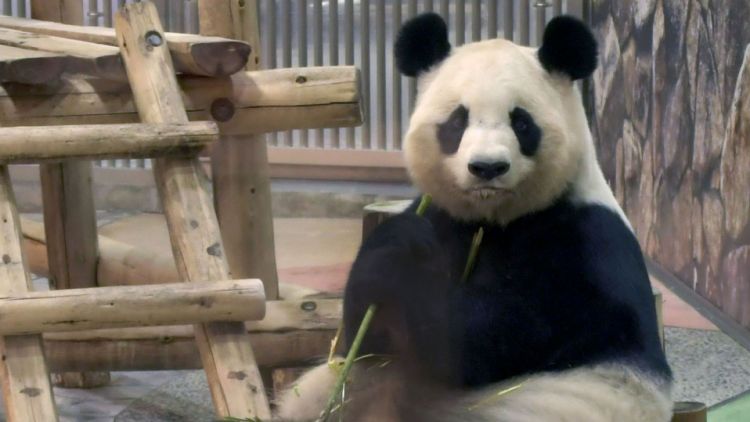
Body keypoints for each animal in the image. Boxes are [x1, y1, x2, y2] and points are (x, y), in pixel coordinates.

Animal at [276, 13, 673, 422]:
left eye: (522, 123)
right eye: (457, 122)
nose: (487, 167)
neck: (493, 219)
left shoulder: (582, 246)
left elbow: (483, 337)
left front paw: (403, 267)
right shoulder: (446, 217)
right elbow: (367, 336)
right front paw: (394, 248)